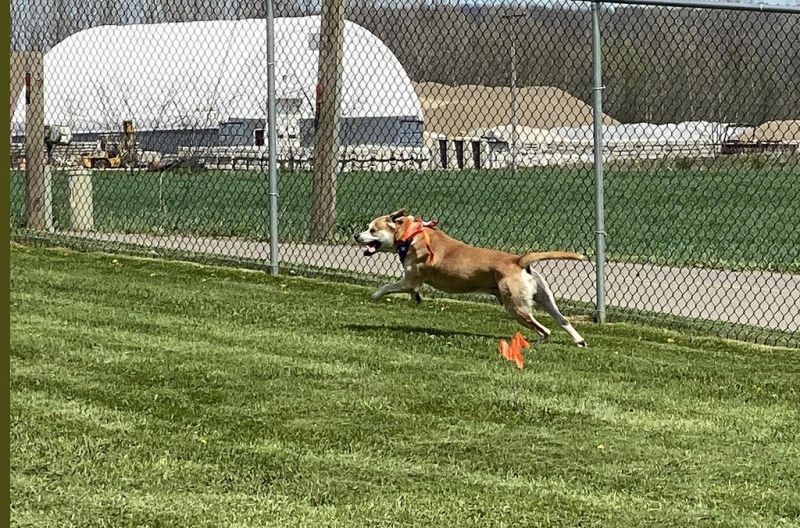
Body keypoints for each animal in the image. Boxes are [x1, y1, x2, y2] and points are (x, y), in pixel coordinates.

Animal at [356, 208, 588, 348]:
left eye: (373, 229)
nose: (356, 236)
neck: (410, 234)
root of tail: (518, 260)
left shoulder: (409, 279)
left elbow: (388, 285)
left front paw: (376, 295)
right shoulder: (413, 281)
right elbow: (413, 289)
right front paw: (416, 297)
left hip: (515, 306)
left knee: (545, 329)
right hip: (544, 297)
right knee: (562, 319)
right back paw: (579, 341)